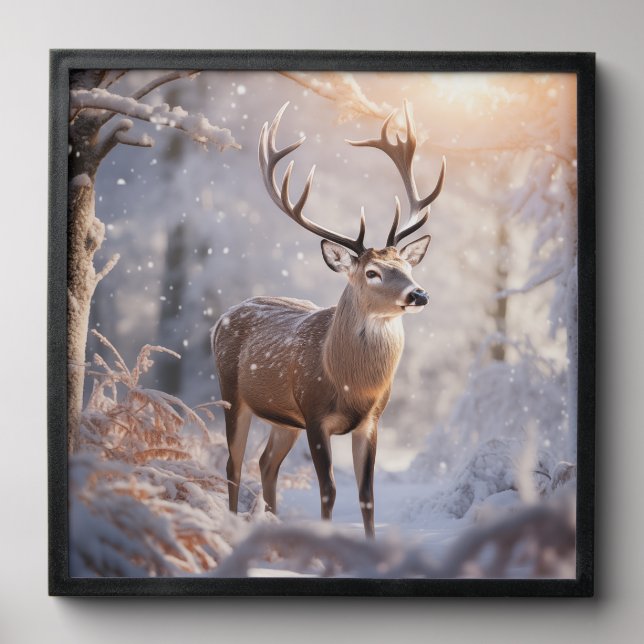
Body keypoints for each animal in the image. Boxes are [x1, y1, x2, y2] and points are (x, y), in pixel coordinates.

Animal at [212, 101, 445, 537]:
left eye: (407, 264)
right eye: (372, 272)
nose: (418, 294)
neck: (351, 384)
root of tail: (221, 318)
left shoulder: (372, 420)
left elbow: (367, 496)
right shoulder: (315, 413)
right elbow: (329, 491)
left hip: (284, 420)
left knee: (265, 463)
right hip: (232, 393)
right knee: (234, 465)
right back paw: (232, 526)